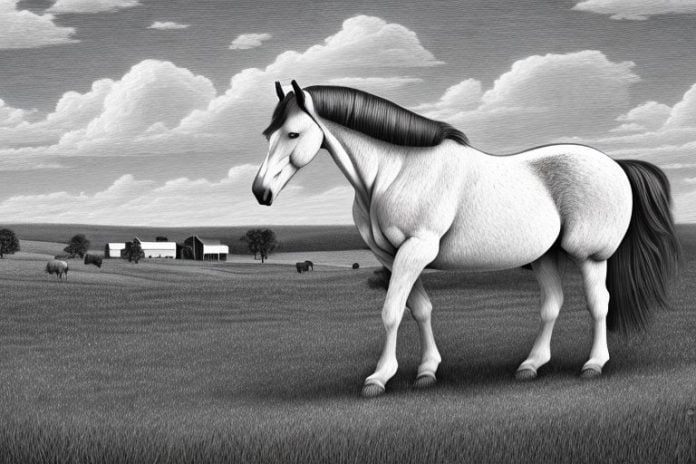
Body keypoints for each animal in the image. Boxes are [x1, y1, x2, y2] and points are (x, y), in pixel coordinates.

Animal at [253, 80, 680, 398]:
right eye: (268, 133)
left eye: (293, 133)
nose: (260, 192)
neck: (396, 170)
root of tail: (616, 164)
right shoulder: (394, 256)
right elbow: (420, 309)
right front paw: (426, 371)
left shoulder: (416, 249)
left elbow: (391, 311)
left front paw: (378, 378)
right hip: (543, 255)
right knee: (552, 304)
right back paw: (531, 365)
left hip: (590, 256)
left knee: (598, 303)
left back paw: (593, 365)